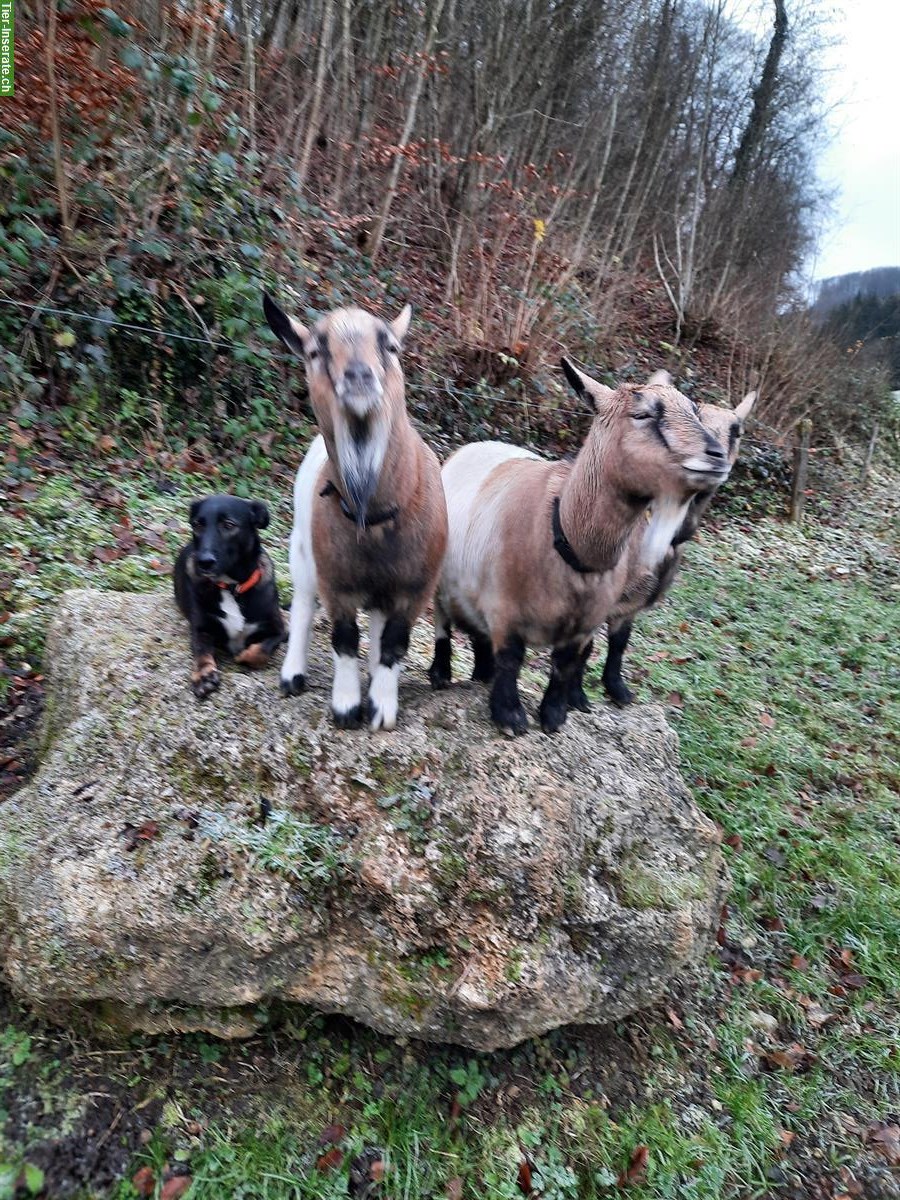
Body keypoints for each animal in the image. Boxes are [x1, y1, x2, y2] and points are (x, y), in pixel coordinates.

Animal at [174, 496, 286, 700]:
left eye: (228, 525)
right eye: (197, 525)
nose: (203, 562)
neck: (232, 587)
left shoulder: (279, 630)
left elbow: (263, 649)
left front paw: (245, 656)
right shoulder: (201, 630)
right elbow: (201, 651)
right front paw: (204, 675)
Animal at [267, 297, 451, 729]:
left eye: (391, 347)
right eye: (315, 351)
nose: (359, 376)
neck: (374, 514)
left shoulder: (415, 586)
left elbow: (395, 642)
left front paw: (382, 708)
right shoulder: (336, 580)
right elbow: (344, 638)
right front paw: (347, 707)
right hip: (301, 551)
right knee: (302, 604)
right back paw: (292, 675)